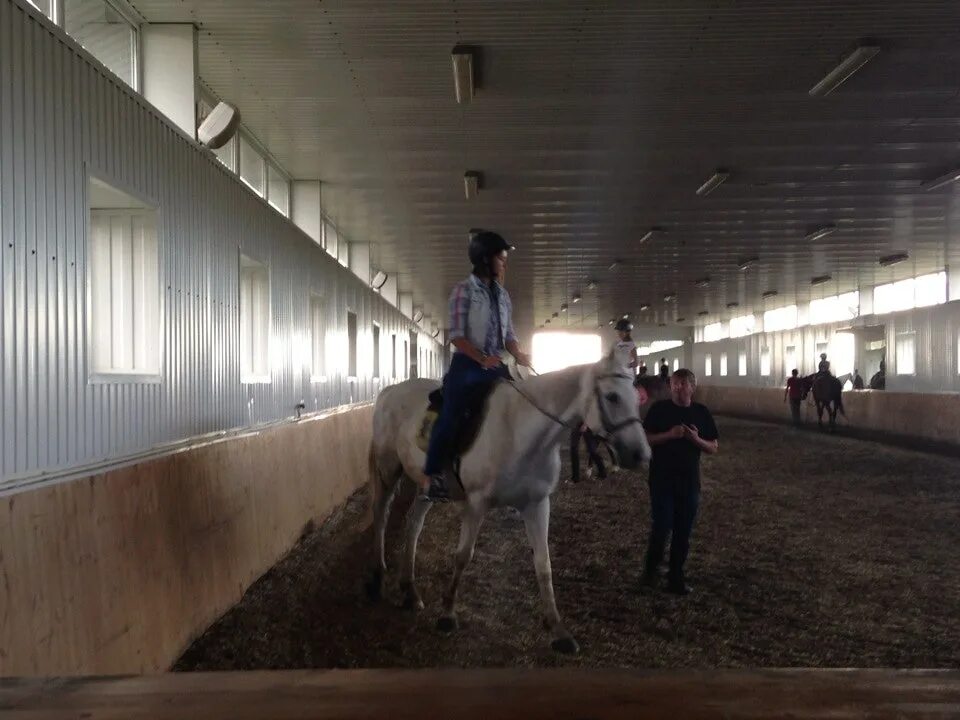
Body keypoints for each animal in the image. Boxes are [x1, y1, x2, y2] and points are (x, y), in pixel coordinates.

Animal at [368, 348, 652, 652]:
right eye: (612, 396)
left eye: (637, 397)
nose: (641, 455)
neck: (520, 431)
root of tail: (391, 391)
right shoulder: (476, 503)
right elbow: (463, 557)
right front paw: (447, 615)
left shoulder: (537, 504)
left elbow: (544, 565)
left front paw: (559, 630)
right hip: (388, 469)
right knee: (381, 514)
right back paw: (377, 577)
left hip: (425, 484)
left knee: (414, 524)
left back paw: (410, 591)